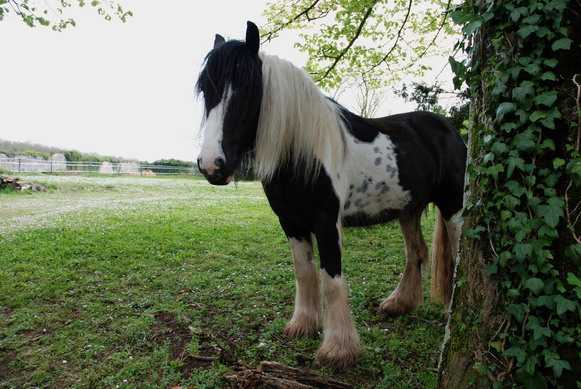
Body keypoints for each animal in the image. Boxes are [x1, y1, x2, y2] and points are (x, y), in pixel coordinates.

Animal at [195, 20, 466, 366]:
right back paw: (398, 304)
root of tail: (449, 129)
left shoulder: (326, 223)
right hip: (408, 209)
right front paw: (302, 325)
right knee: (416, 252)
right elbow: (304, 272)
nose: (212, 165)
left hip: (452, 206)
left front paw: (339, 348)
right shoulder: (291, 222)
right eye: (206, 90)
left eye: (247, 88)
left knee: (456, 260)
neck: (302, 153)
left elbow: (331, 280)